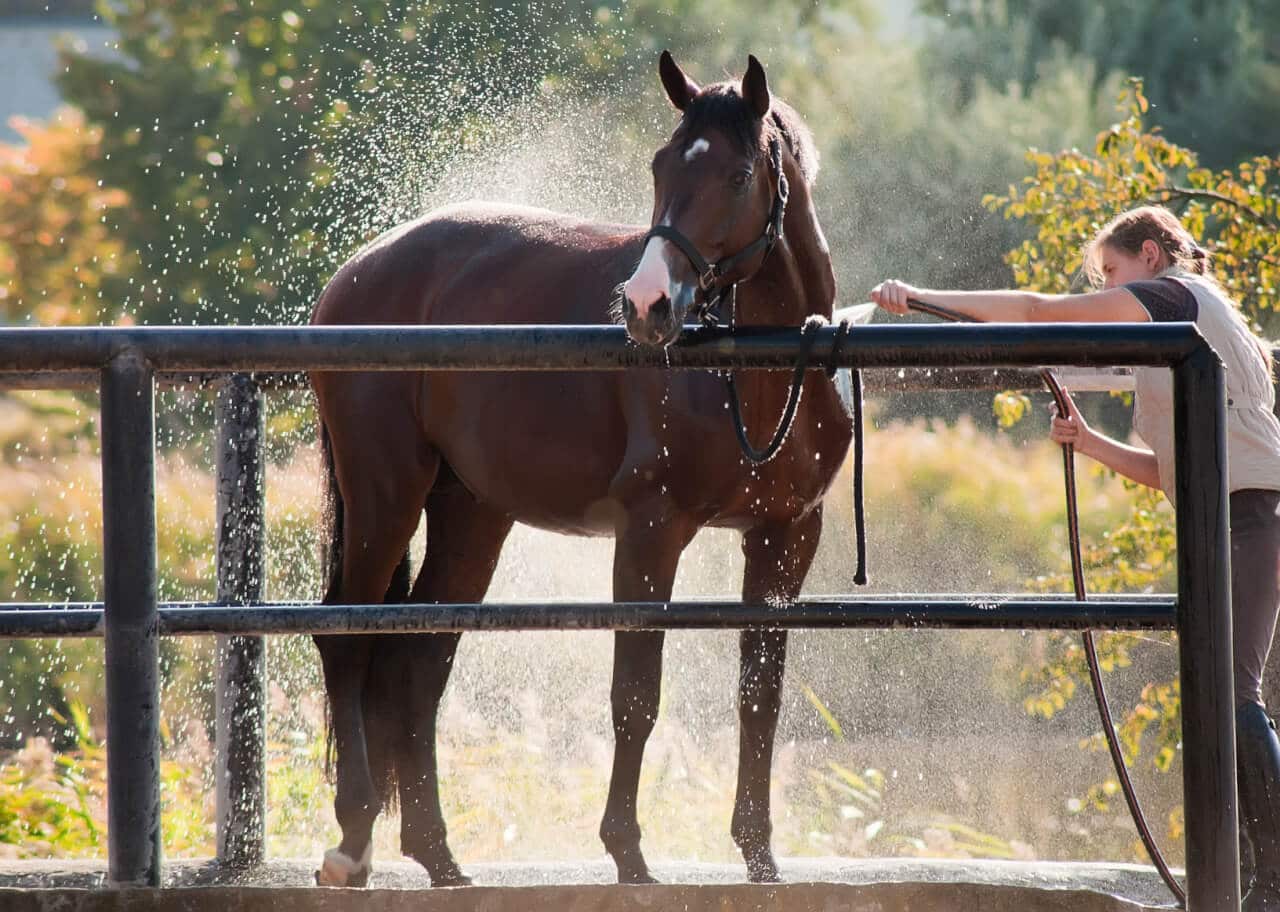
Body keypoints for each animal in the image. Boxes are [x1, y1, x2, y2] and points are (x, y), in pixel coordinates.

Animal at [308, 51, 854, 888]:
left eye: (737, 176)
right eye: (661, 163)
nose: (647, 304)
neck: (753, 373)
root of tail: (359, 271)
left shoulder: (786, 536)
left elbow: (758, 694)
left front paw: (760, 856)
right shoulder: (651, 532)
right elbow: (635, 695)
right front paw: (628, 852)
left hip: (471, 515)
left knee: (420, 659)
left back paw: (438, 855)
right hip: (384, 497)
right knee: (346, 636)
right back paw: (352, 840)